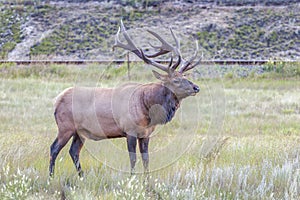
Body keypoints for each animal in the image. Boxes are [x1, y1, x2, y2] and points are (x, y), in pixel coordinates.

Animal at [49, 20, 202, 177]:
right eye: (176, 80)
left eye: (185, 76)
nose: (196, 88)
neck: (147, 107)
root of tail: (57, 100)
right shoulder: (130, 130)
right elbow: (133, 159)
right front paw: (132, 178)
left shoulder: (145, 134)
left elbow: (146, 159)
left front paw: (147, 179)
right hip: (65, 126)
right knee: (54, 148)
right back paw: (51, 177)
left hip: (80, 131)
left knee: (73, 151)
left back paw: (81, 176)